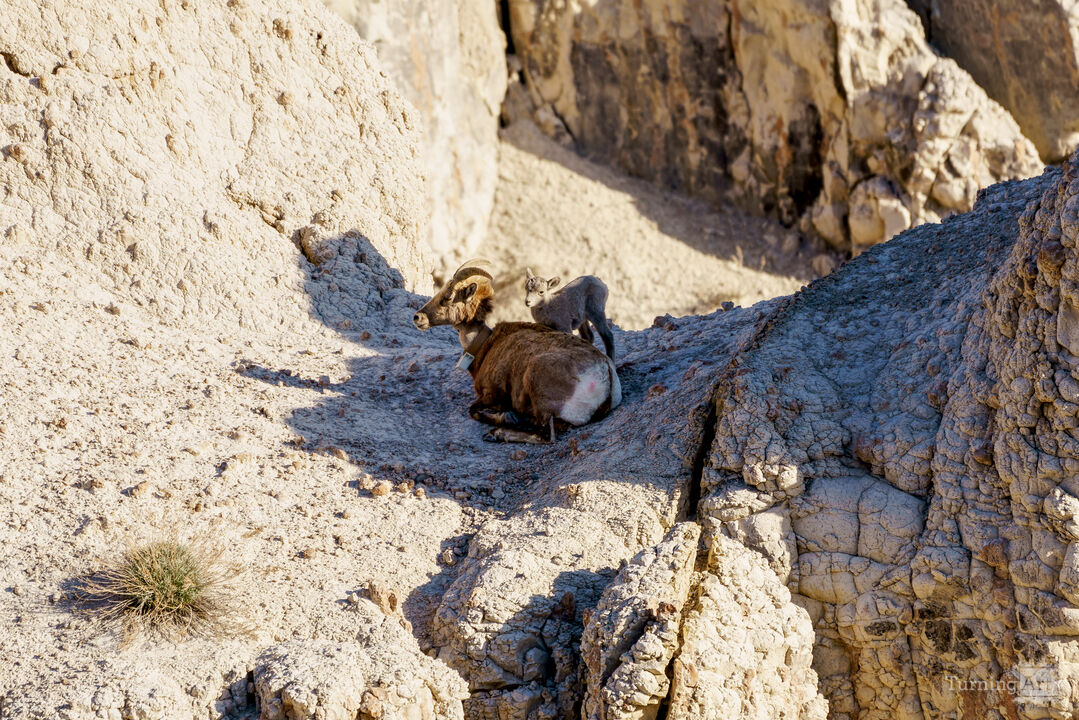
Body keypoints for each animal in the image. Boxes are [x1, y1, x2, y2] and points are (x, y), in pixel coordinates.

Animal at [413, 260, 621, 444]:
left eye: (448, 297)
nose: (418, 318)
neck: (485, 346)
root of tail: (606, 377)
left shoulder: (491, 394)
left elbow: (473, 410)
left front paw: (508, 417)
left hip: (537, 384)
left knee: (546, 436)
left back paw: (498, 433)